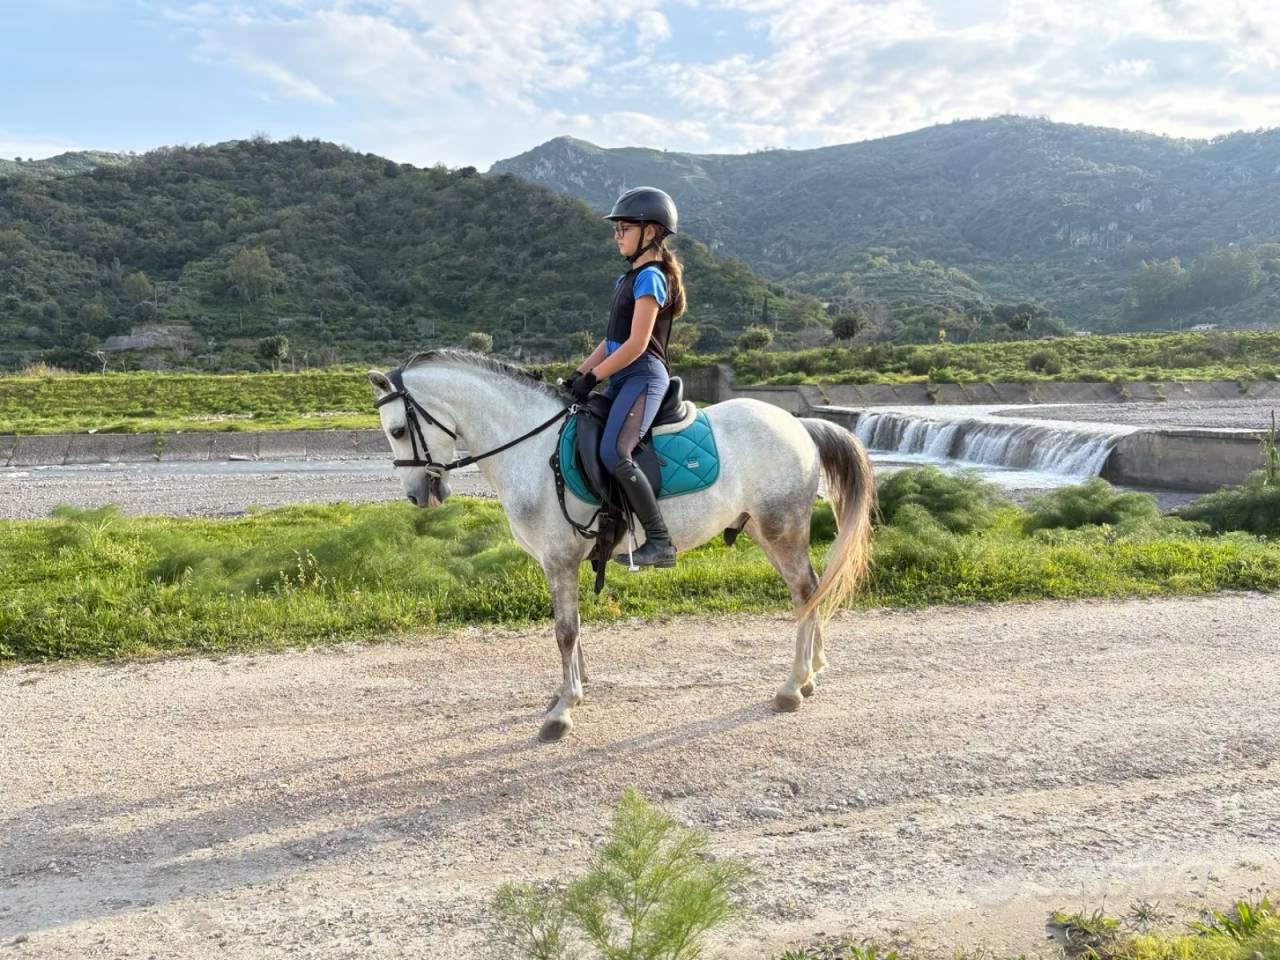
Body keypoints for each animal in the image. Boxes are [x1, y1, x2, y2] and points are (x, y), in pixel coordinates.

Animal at [368, 350, 875, 742]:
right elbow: (571, 631)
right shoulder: (560, 563)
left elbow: (564, 631)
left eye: (397, 431)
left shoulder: (560, 560)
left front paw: (563, 710)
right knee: (808, 590)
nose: (419, 495)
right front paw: (567, 692)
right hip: (764, 530)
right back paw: (812, 673)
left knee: (806, 592)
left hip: (780, 528)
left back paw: (792, 686)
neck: (531, 450)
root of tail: (799, 424)